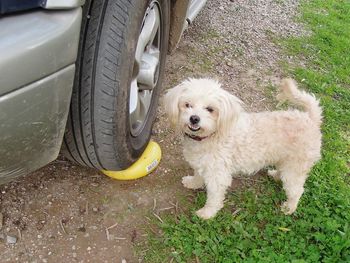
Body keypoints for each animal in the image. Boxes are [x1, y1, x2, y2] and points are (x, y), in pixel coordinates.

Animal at [164, 78, 322, 221]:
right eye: (187, 105)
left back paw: (289, 207)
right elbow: (197, 176)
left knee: (297, 190)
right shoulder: (201, 164)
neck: (211, 136)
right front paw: (192, 183)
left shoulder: (218, 176)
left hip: (295, 168)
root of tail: (311, 119)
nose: (194, 118)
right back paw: (276, 175)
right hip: (284, 160)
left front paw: (206, 213)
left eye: (210, 109)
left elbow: (214, 199)